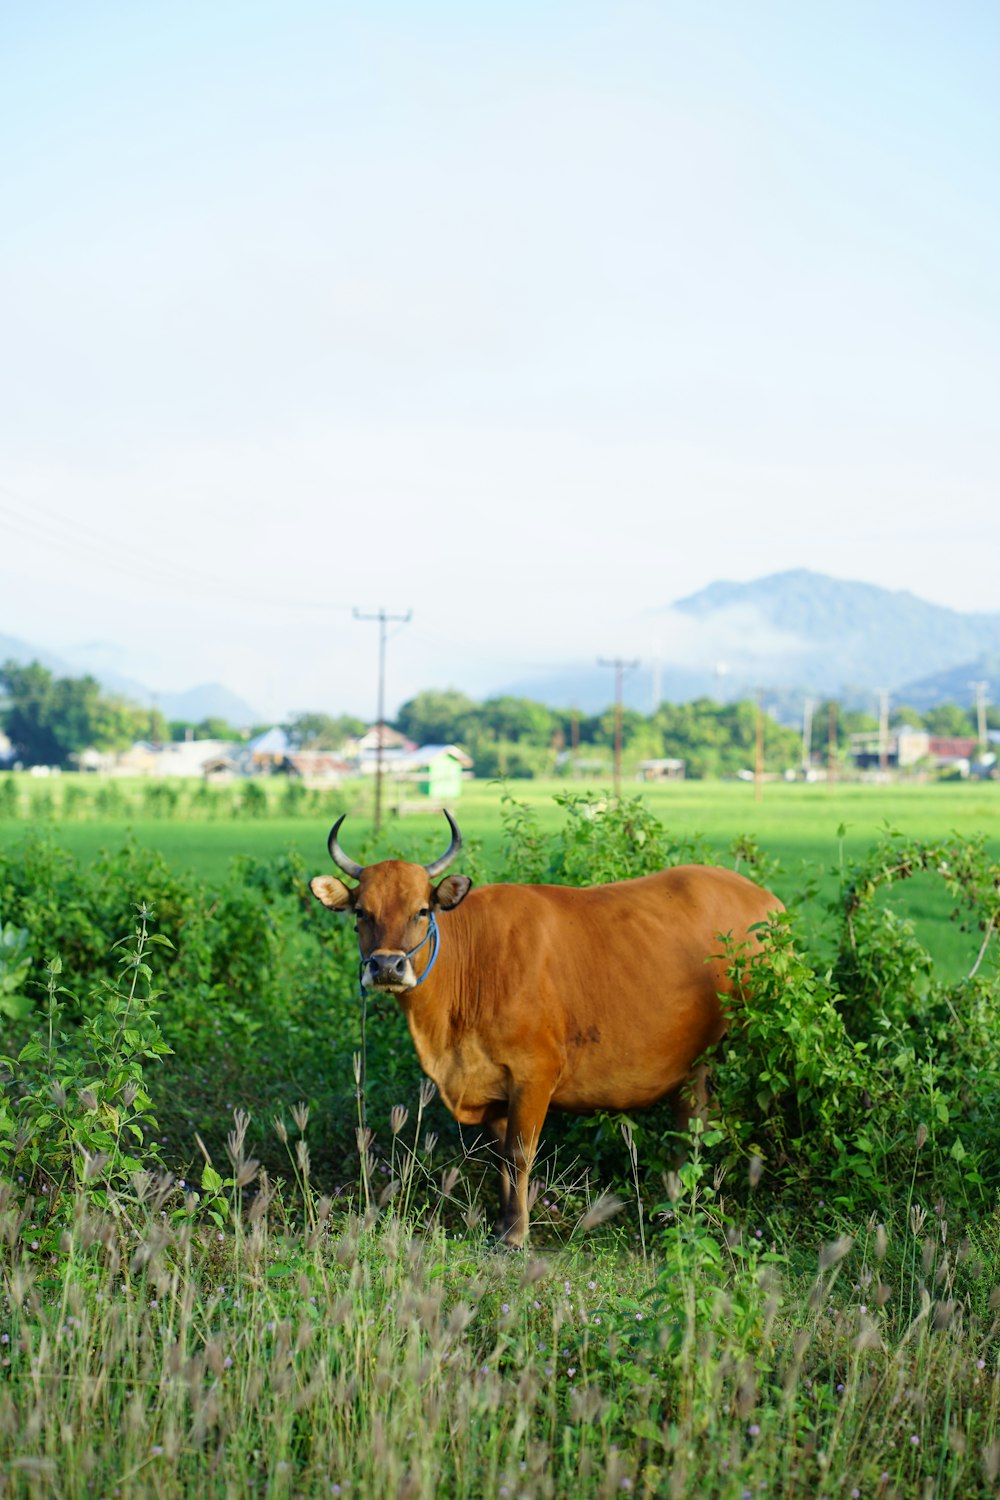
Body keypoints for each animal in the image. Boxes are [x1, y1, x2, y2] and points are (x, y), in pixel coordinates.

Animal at [310, 810, 779, 1242]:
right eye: (361, 913)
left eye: (422, 911)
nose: (387, 966)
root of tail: (765, 901)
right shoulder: (492, 1086)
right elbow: (500, 1157)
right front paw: (502, 1224)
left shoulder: (535, 1074)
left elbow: (520, 1154)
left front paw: (516, 1235)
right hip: (697, 1062)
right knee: (691, 1124)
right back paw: (674, 1209)